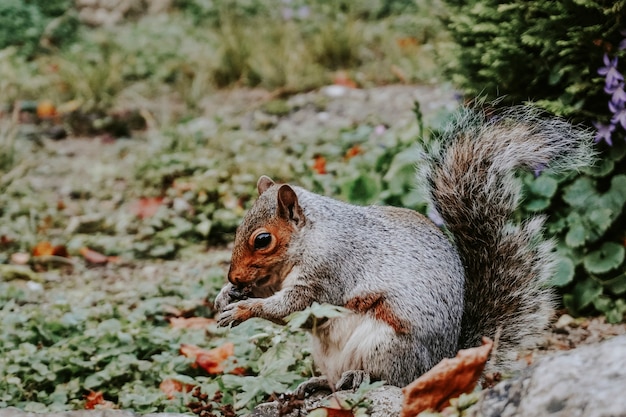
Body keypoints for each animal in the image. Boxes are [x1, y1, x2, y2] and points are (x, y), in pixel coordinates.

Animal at [212, 106, 592, 390]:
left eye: (263, 240)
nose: (234, 276)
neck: (312, 238)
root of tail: (441, 362)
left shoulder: (329, 271)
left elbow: (293, 306)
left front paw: (243, 309)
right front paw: (225, 295)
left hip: (388, 346)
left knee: (395, 381)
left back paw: (359, 376)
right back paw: (318, 383)